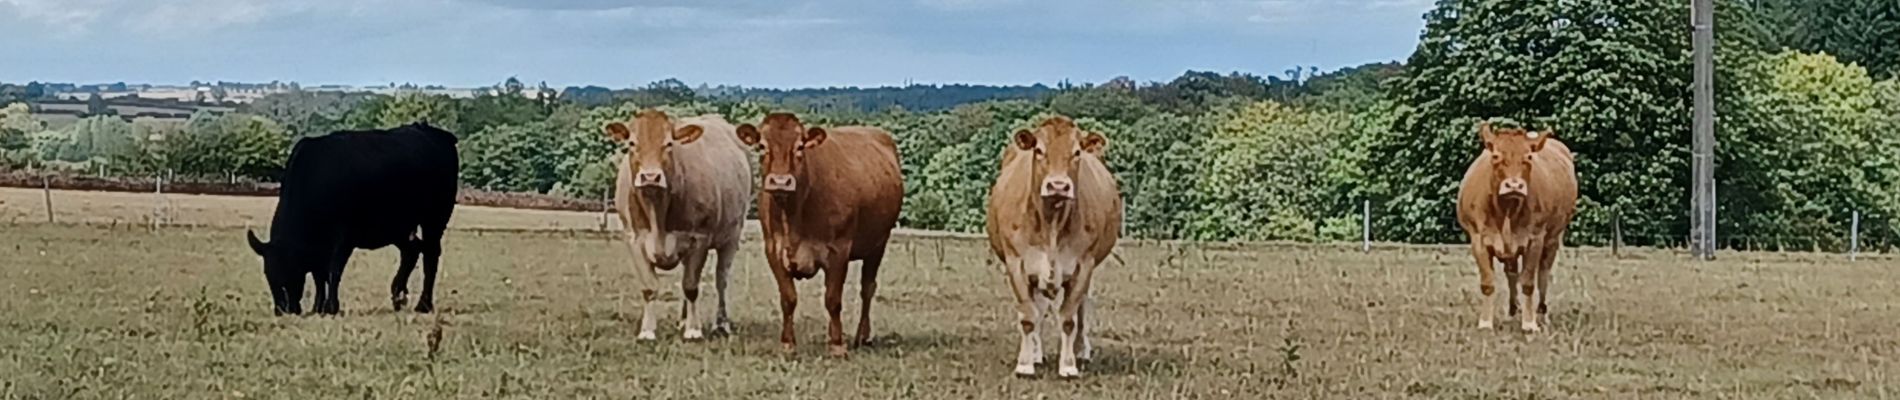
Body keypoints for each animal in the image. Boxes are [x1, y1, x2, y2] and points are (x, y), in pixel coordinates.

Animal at [243, 123, 457, 316]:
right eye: (268, 275)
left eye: (290, 270)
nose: (283, 310)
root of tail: (438, 134)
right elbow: (319, 274)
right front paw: (318, 307)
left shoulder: (344, 238)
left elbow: (333, 271)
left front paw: (330, 307)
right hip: (397, 226)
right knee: (412, 251)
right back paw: (398, 296)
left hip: (435, 218)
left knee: (430, 255)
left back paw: (424, 305)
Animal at [608, 108, 756, 341]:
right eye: (632, 143)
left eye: (669, 144)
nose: (650, 176)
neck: (657, 210)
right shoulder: (634, 239)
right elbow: (649, 287)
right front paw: (647, 331)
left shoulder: (699, 239)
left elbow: (691, 286)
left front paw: (694, 330)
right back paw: (683, 319)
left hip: (732, 237)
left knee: (721, 280)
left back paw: (721, 324)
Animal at [733, 111, 904, 356]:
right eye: (762, 146)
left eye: (800, 147)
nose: (781, 182)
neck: (794, 214)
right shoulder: (773, 250)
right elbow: (788, 298)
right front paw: (788, 343)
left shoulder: (839, 250)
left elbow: (833, 299)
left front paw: (837, 345)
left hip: (878, 243)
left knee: (867, 288)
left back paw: (863, 336)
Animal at [988, 115, 1117, 377]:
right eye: (1039, 150)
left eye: (1076, 152)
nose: (1058, 186)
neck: (1051, 225)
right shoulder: (1017, 263)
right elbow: (1029, 316)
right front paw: (1025, 364)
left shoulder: (1084, 266)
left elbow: (1069, 318)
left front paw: (1068, 365)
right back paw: (1037, 354)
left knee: (1082, 309)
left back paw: (1081, 351)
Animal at [1459, 120, 1580, 333]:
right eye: (1496, 156)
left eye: (1529, 157)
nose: (1514, 185)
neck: (1507, 209)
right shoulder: (1478, 239)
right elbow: (1488, 283)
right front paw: (1485, 323)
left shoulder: (1535, 239)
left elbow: (1529, 282)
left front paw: (1529, 323)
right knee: (1512, 274)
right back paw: (1513, 311)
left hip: (1552, 239)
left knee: (1543, 275)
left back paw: (1541, 314)